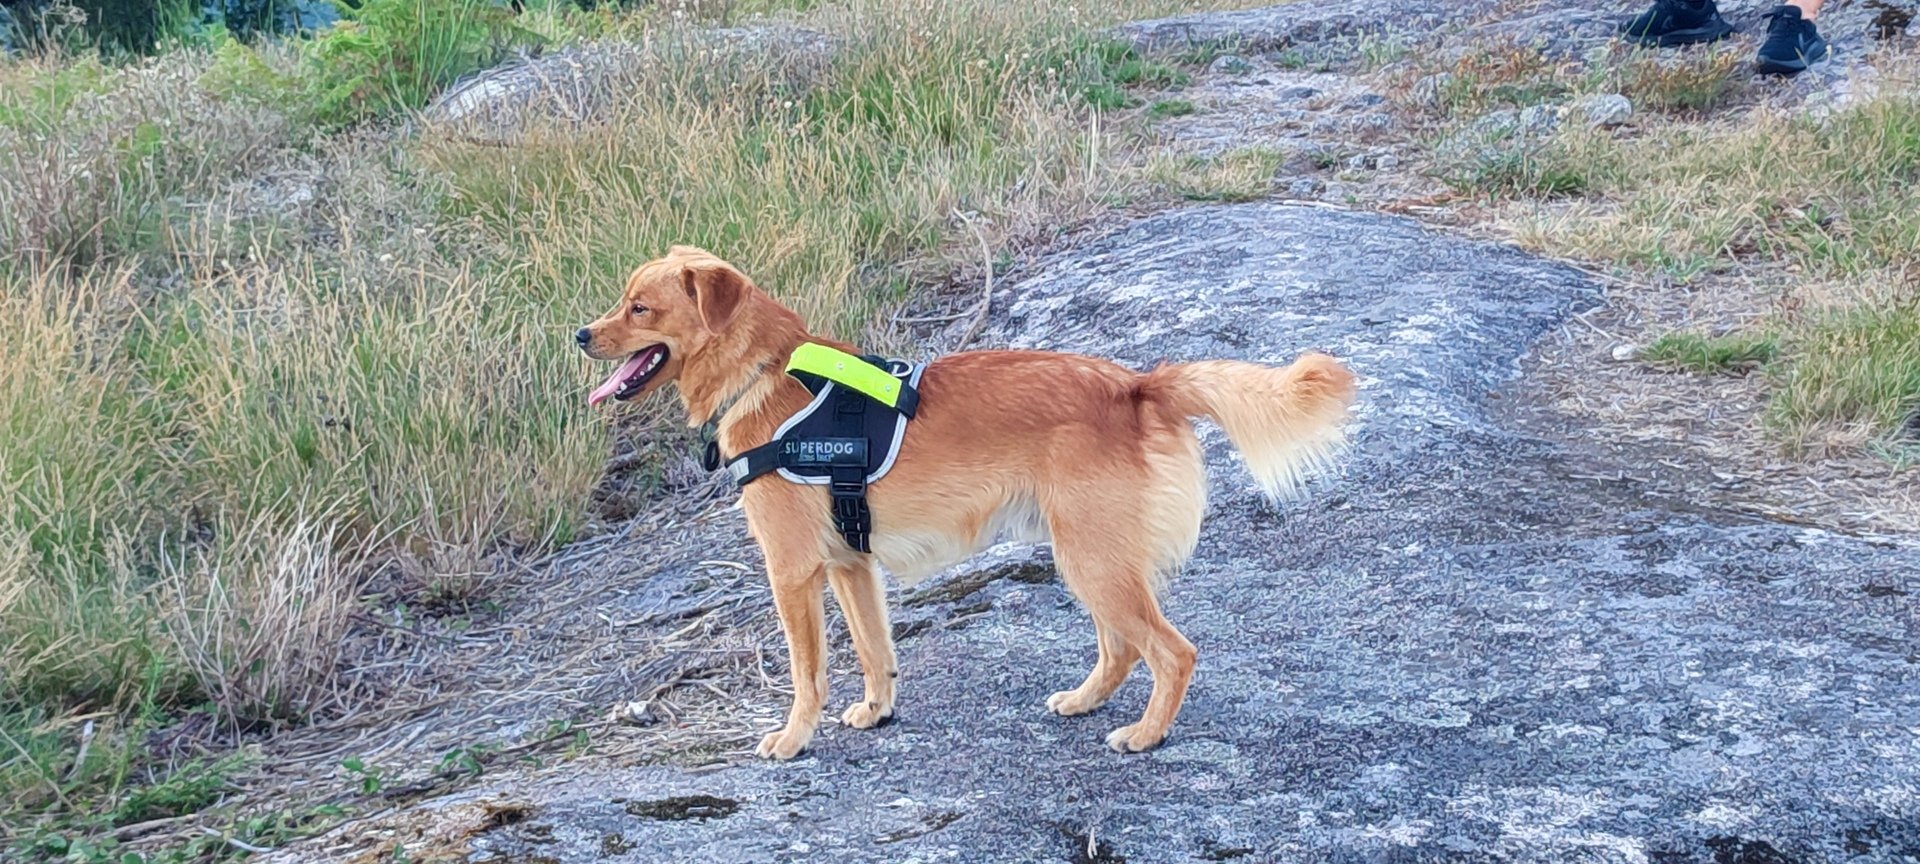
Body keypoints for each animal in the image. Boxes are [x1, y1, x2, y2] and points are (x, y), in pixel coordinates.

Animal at [578, 246, 1356, 759]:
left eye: (640, 307)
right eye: (621, 298)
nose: (580, 334)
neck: (765, 376)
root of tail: (1137, 385)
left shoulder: (793, 572)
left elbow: (808, 672)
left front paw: (793, 739)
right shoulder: (851, 566)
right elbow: (875, 651)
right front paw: (877, 712)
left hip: (1093, 561)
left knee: (1171, 651)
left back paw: (1145, 733)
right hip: (1090, 558)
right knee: (1121, 648)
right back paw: (1085, 701)